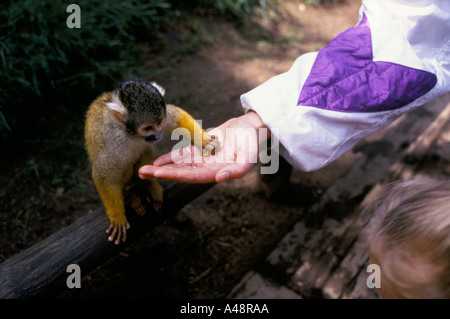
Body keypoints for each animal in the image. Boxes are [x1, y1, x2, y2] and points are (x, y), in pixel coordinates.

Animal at [87, 79, 217, 245]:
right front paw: (118, 217)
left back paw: (148, 183)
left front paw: (203, 140)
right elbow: (102, 175)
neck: (132, 135)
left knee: (146, 149)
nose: (158, 134)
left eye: (160, 122)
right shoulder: (114, 144)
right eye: (148, 128)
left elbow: (177, 116)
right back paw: (128, 195)